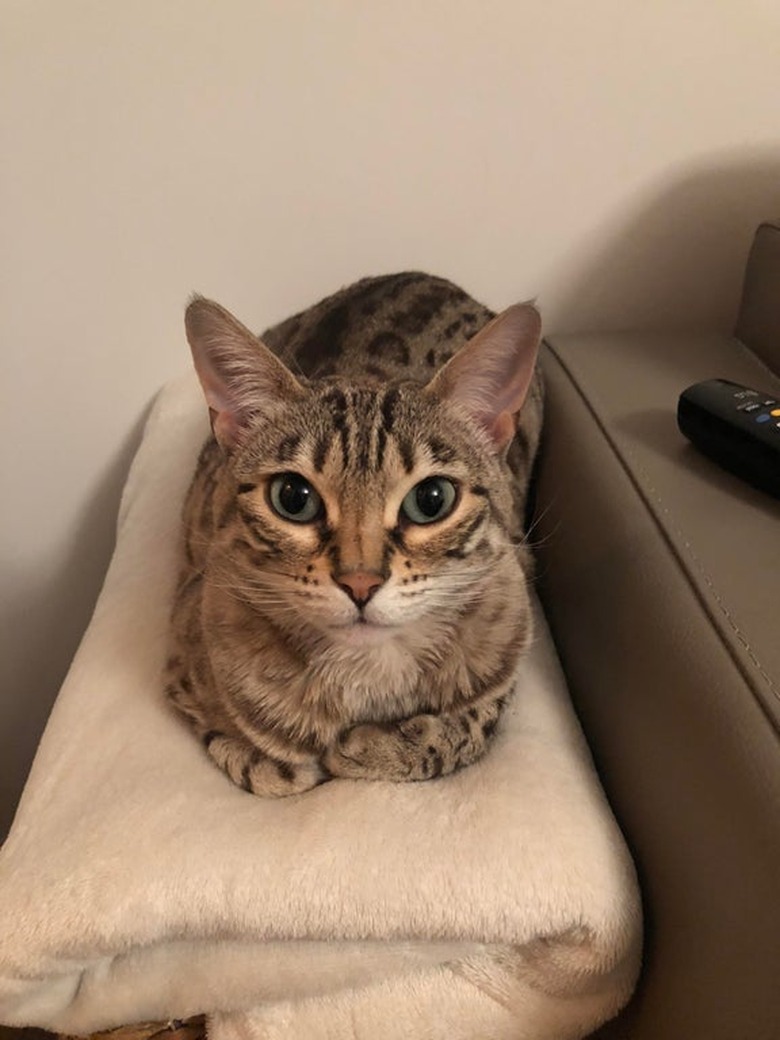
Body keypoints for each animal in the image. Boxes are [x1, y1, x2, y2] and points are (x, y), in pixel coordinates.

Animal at [165, 274, 544, 794]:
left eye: (432, 499)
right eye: (292, 497)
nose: (360, 582)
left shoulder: (514, 601)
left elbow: (473, 723)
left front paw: (376, 747)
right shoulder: (181, 649)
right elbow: (264, 763)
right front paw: (283, 756)